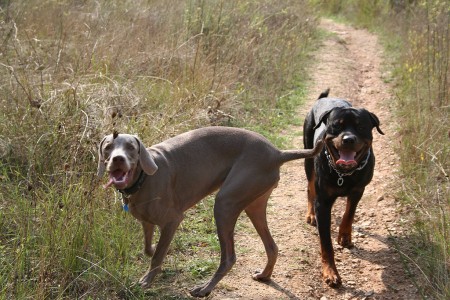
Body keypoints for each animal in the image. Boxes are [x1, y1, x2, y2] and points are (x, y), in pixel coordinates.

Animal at [97, 125, 324, 296]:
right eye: (108, 147)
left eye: (131, 147)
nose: (118, 159)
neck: (142, 179)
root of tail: (277, 153)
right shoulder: (146, 221)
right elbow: (150, 249)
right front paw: (157, 255)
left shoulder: (173, 220)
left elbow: (157, 255)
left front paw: (147, 280)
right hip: (254, 203)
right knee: (272, 247)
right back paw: (264, 275)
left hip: (225, 203)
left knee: (229, 257)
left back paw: (205, 289)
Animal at [302, 88, 384, 286]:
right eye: (336, 126)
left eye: (361, 127)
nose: (348, 139)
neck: (343, 174)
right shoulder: (323, 203)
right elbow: (326, 244)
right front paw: (330, 272)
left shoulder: (358, 190)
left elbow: (349, 213)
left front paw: (345, 236)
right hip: (308, 156)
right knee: (310, 187)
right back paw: (311, 215)